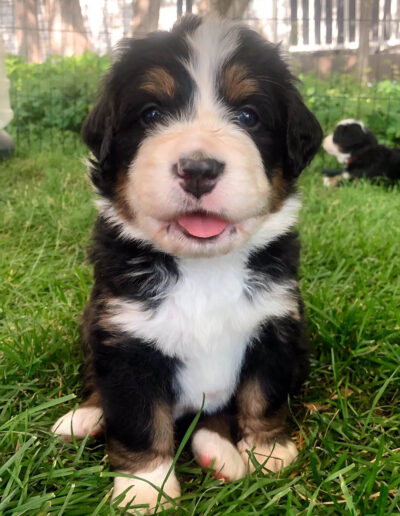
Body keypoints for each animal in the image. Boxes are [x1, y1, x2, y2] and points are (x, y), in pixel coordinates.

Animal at [52, 15, 322, 512]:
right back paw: (83, 419)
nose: (198, 169)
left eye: (249, 116)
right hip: (92, 324)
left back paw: (220, 454)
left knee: (212, 416)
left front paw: (268, 451)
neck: (204, 269)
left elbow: (262, 396)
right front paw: (145, 490)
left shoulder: (275, 328)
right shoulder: (128, 343)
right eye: (151, 114)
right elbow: (140, 423)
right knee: (100, 388)